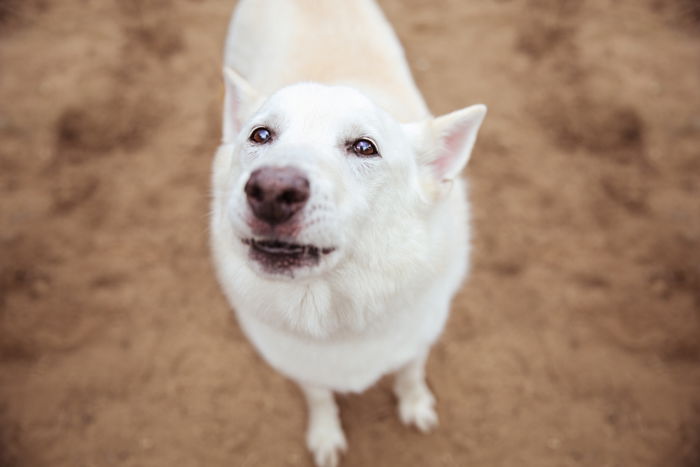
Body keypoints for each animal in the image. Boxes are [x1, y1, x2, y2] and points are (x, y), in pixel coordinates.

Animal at [209, 1, 486, 466]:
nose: (272, 191)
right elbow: (320, 398)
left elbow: (410, 373)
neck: (333, 307)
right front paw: (325, 435)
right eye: (260, 135)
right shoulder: (302, 365)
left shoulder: (420, 336)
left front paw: (415, 405)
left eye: (364, 147)